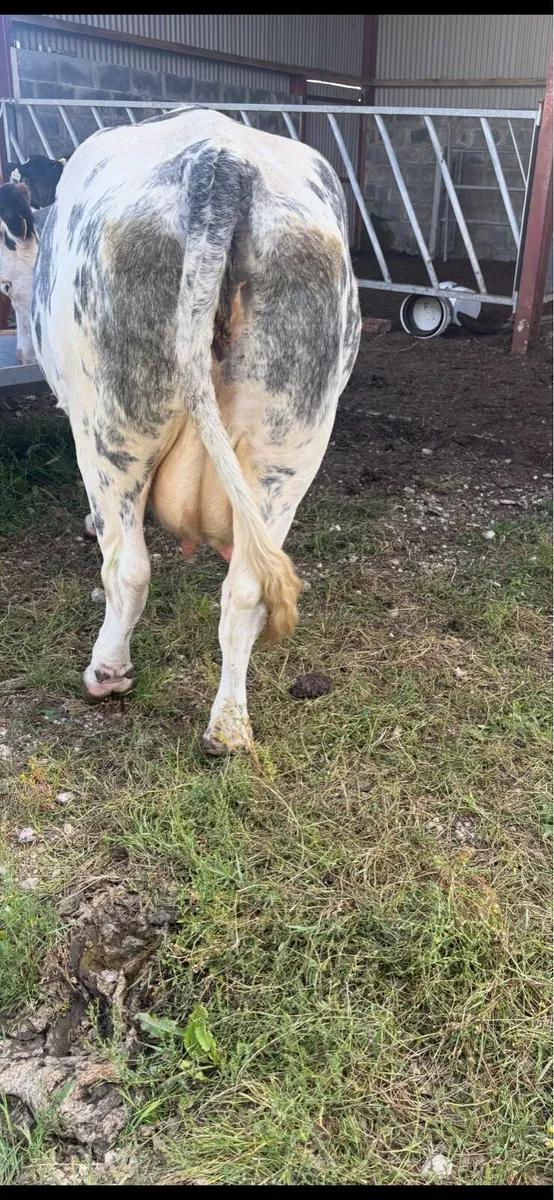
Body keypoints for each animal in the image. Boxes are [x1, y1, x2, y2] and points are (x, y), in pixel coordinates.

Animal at [0, 106, 361, 755]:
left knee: (128, 568)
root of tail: (222, 164)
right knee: (247, 588)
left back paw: (107, 672)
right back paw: (229, 726)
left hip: (115, 430)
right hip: (289, 446)